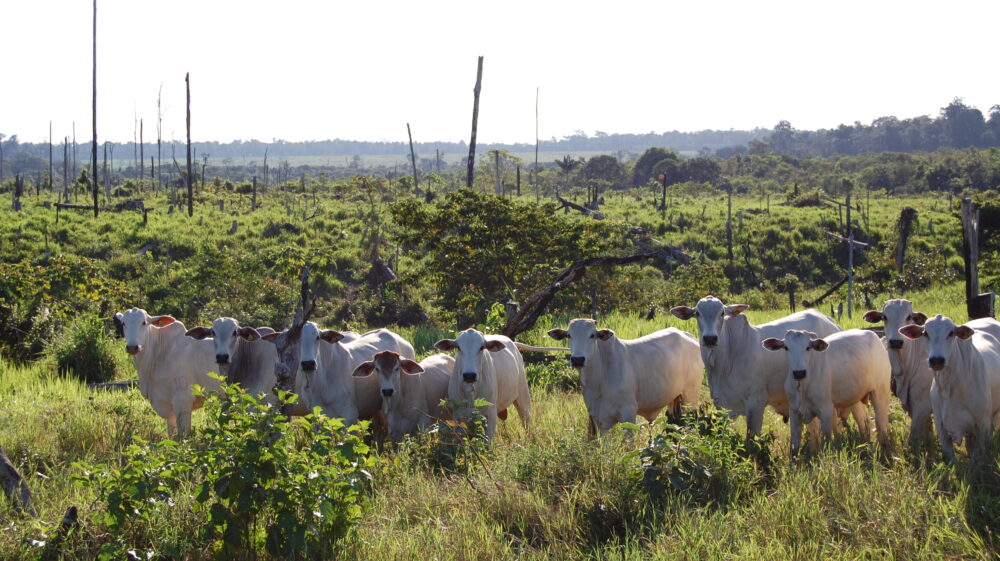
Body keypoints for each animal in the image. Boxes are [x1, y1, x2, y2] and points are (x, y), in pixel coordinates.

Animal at [115, 307, 219, 437]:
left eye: (144, 322)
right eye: (124, 323)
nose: (132, 347)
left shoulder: (183, 401)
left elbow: (184, 436)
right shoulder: (169, 410)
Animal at [547, 319, 701, 437]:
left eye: (592, 335)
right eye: (569, 335)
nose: (577, 359)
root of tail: (689, 336)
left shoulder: (629, 414)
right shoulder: (599, 420)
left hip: (690, 398)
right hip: (673, 399)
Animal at [670, 296, 841, 436]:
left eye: (722, 313)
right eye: (697, 313)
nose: (710, 338)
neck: (726, 361)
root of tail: (831, 322)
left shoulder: (756, 403)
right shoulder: (724, 408)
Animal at [762, 329, 891, 453]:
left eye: (808, 347)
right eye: (786, 347)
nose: (799, 373)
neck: (803, 385)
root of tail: (877, 338)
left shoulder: (826, 411)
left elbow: (827, 442)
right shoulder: (794, 411)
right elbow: (794, 446)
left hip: (880, 391)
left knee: (881, 423)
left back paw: (884, 447)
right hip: (855, 398)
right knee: (864, 422)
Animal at [899, 315, 1000, 462]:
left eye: (951, 333)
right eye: (925, 333)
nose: (936, 360)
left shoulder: (982, 426)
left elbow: (979, 459)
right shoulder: (942, 428)